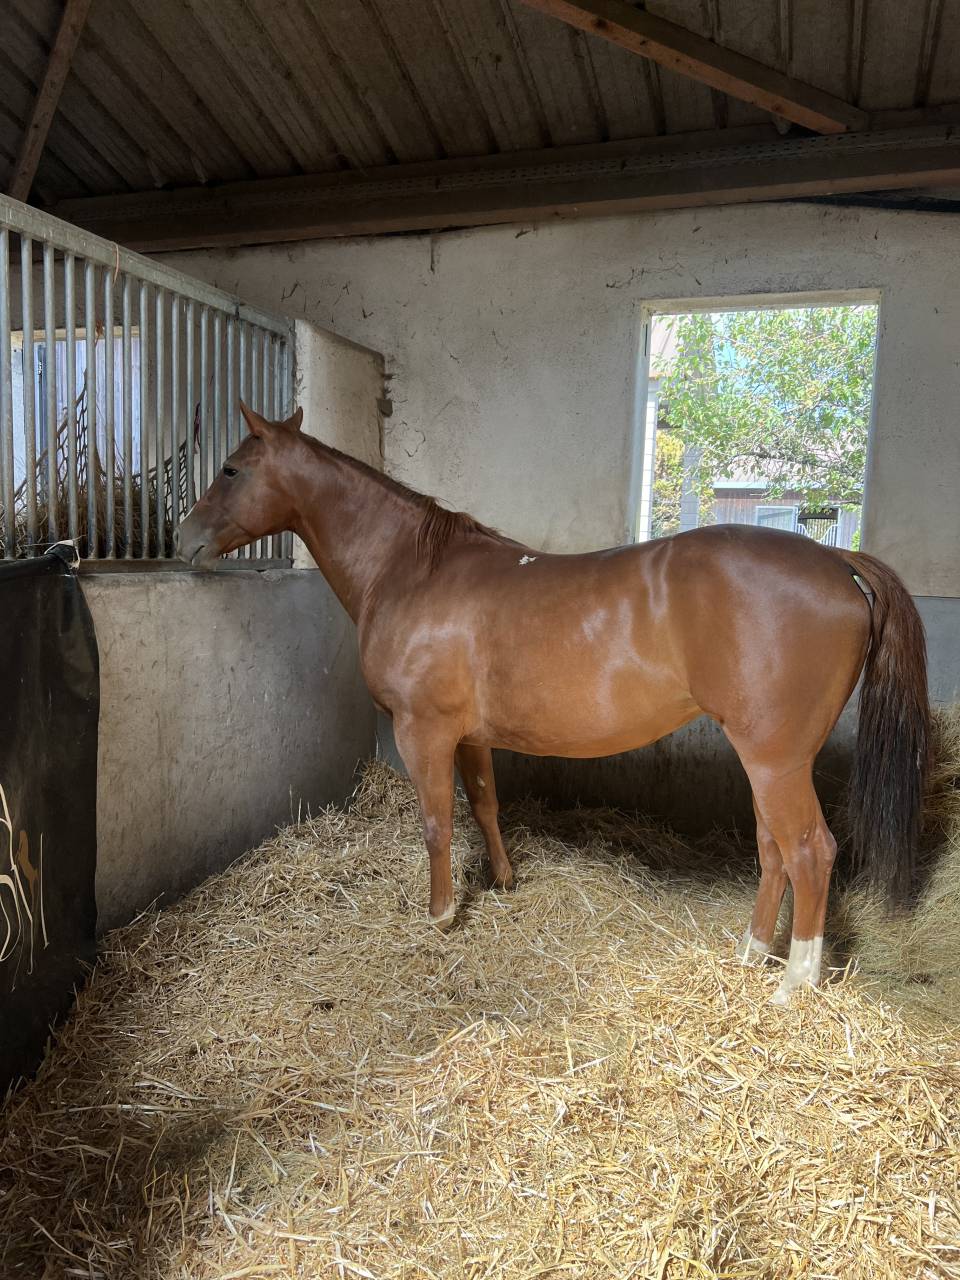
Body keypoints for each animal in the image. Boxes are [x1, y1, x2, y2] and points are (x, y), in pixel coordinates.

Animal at [175, 403, 929, 1006]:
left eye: (231, 469)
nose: (183, 540)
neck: (412, 571)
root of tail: (839, 565)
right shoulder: (470, 736)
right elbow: (485, 806)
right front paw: (504, 882)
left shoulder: (424, 732)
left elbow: (436, 823)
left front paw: (440, 915)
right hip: (769, 761)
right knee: (776, 850)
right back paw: (749, 953)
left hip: (775, 759)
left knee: (810, 852)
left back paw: (793, 983)